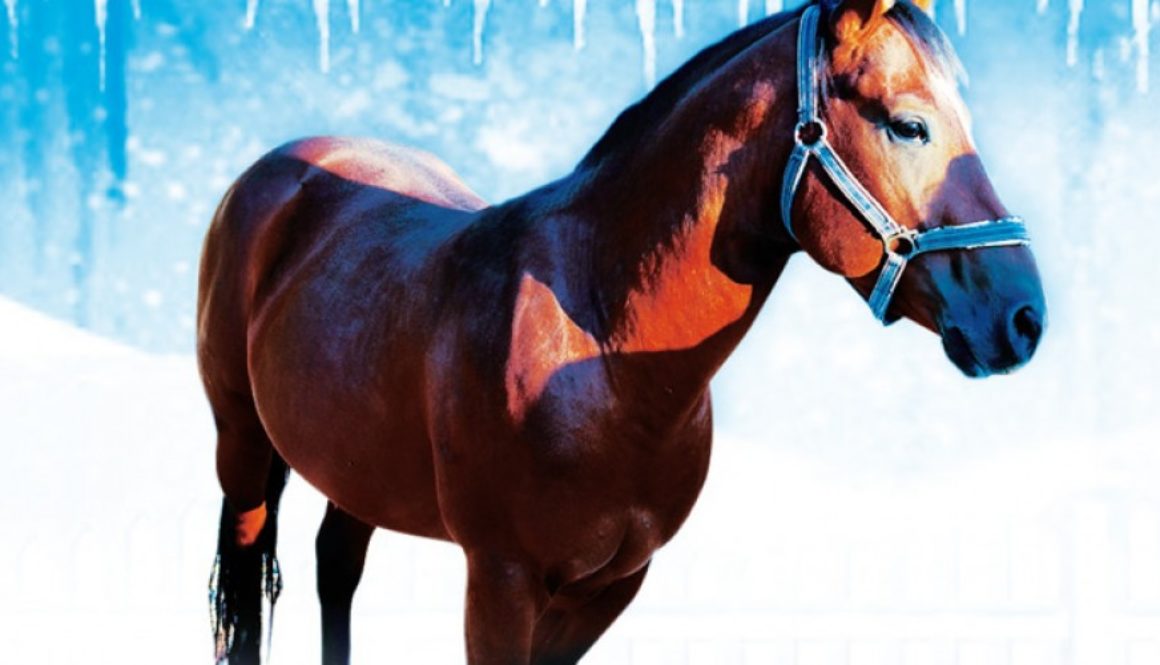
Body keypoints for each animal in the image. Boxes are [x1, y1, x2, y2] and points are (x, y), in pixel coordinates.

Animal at [198, 0, 1045, 662]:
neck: (600, 346)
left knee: (335, 566)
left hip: (357, 465)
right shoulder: (500, 580)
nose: (1023, 316)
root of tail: (282, 167)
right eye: (909, 125)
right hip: (240, 443)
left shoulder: (609, 588)